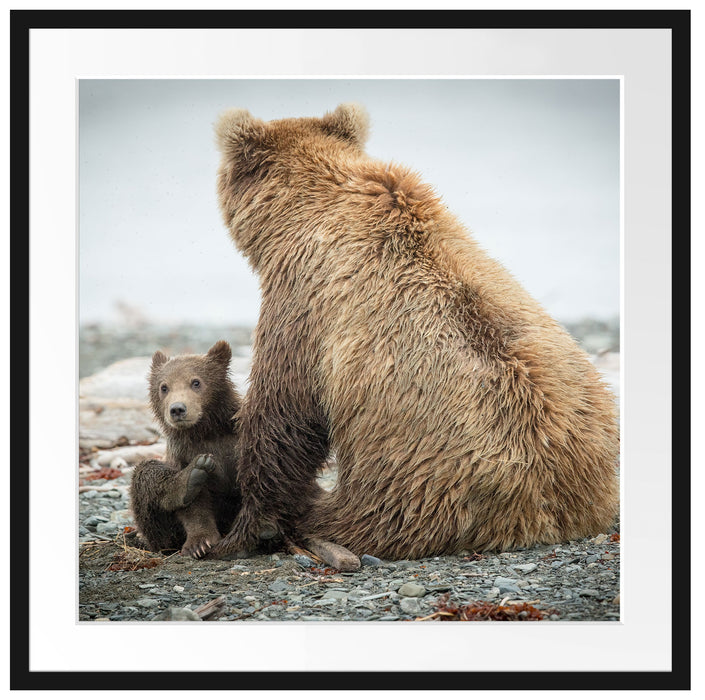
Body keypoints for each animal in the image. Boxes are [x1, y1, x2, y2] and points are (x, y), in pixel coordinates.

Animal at [130, 341, 242, 559]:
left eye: (196, 382)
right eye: (164, 387)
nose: (177, 409)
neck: (206, 431)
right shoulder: (183, 454)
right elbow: (194, 508)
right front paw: (199, 543)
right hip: (162, 534)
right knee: (146, 472)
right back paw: (189, 478)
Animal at [208, 103, 620, 561]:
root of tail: (549, 513)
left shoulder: (303, 301)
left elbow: (282, 413)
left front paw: (243, 530)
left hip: (415, 483)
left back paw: (312, 522)